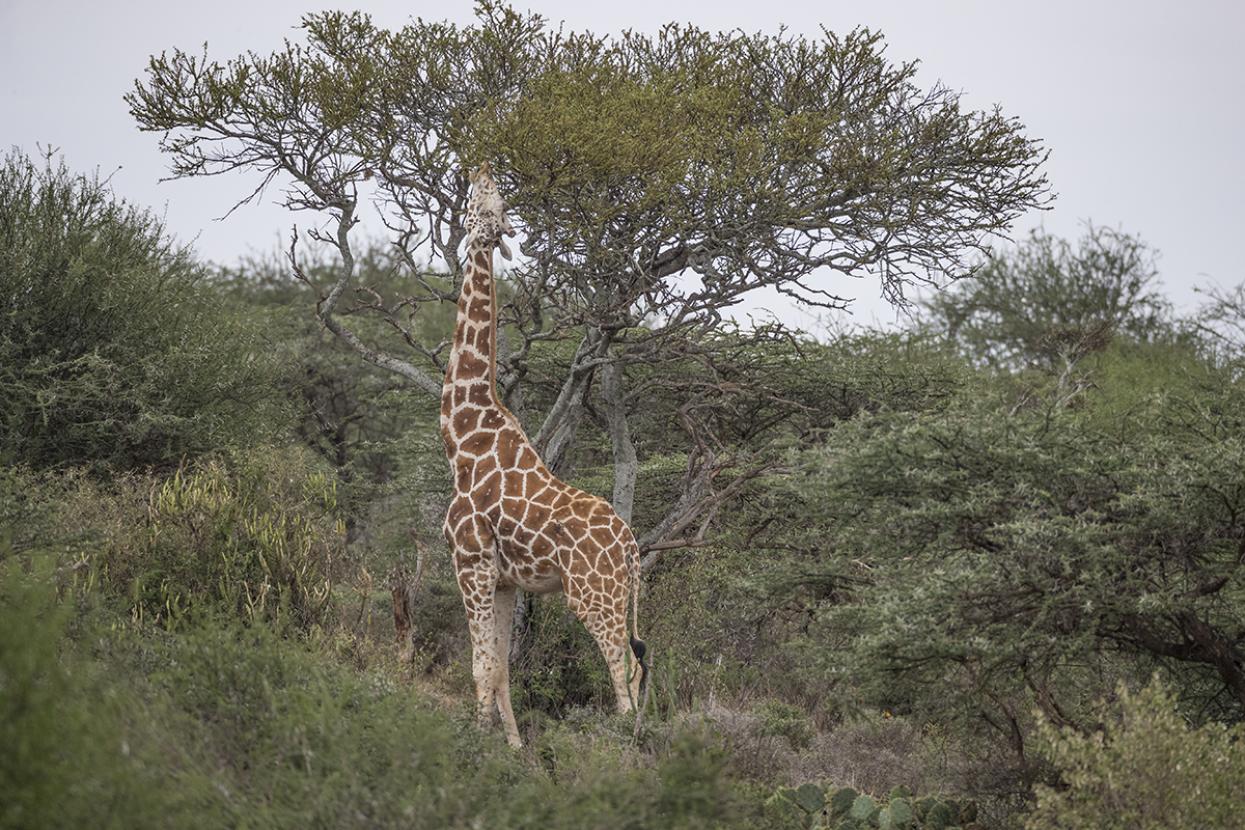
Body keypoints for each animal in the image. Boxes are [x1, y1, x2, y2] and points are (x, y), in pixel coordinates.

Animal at [440, 162, 647, 748]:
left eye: (491, 203)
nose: (480, 166)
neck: (462, 438)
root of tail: (631, 548)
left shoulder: (469, 562)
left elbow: (481, 666)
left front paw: (474, 748)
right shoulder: (505, 578)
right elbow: (501, 667)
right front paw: (513, 747)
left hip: (594, 593)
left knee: (625, 666)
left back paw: (628, 746)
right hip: (615, 593)